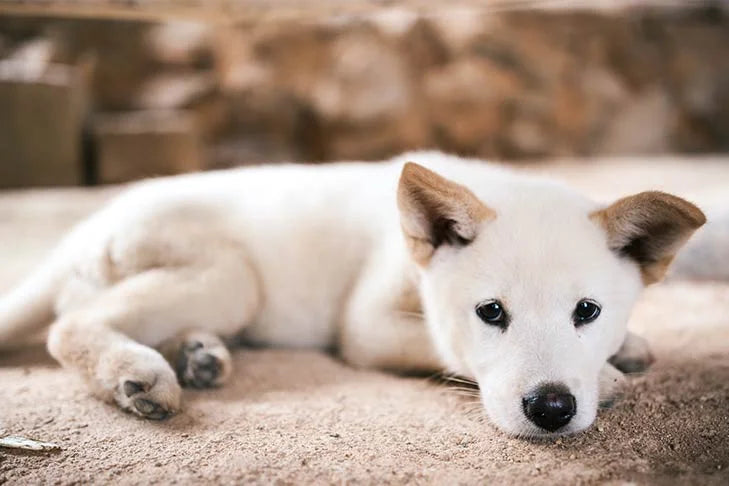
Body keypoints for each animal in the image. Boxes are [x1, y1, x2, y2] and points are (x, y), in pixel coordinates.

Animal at [0, 152, 704, 436]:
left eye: (587, 312)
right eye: (490, 313)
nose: (552, 409)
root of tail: (79, 231)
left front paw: (626, 346)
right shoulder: (364, 325)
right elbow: (442, 349)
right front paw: (609, 379)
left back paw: (199, 354)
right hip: (232, 278)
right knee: (69, 325)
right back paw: (137, 371)